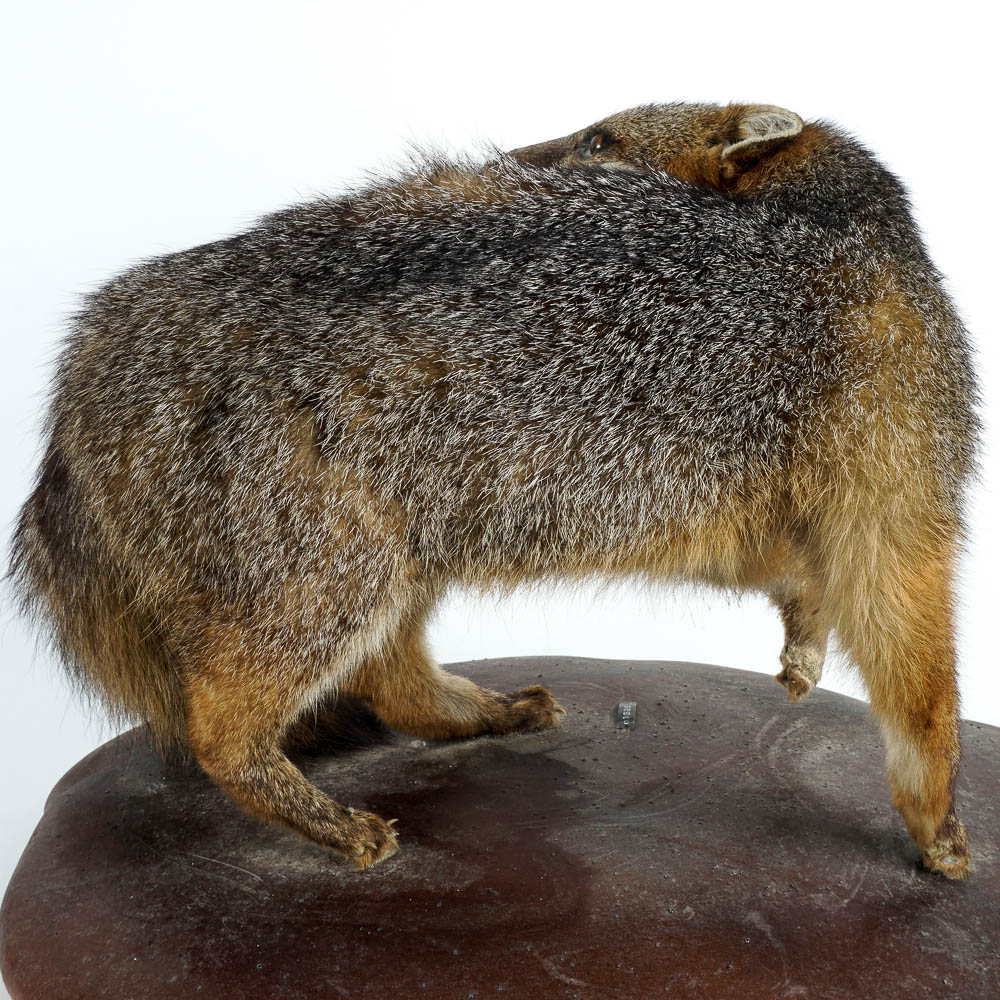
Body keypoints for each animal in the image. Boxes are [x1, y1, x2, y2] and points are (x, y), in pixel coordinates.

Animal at [8, 101, 980, 877]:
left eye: (599, 138)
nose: (505, 155)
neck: (838, 213)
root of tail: (91, 352)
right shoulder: (896, 520)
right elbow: (926, 703)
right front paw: (936, 827)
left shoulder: (744, 516)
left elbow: (809, 589)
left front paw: (804, 648)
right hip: (327, 587)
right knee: (217, 732)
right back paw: (337, 827)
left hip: (400, 565)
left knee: (393, 686)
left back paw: (484, 715)